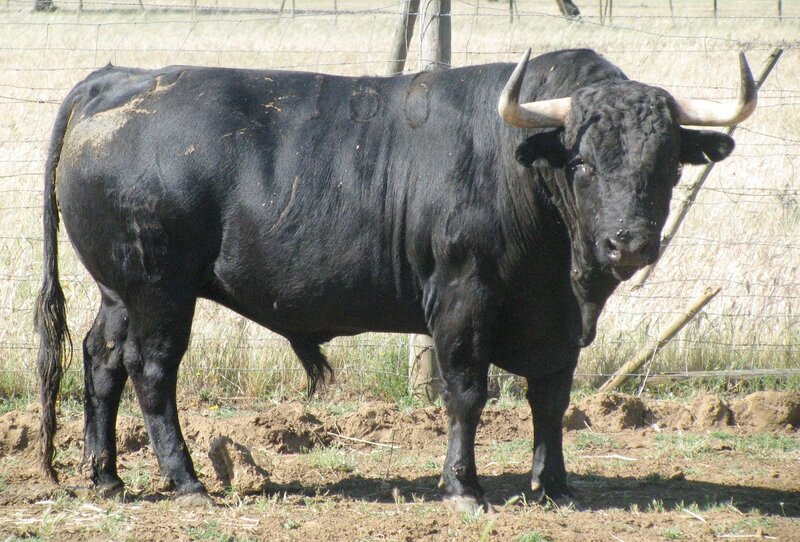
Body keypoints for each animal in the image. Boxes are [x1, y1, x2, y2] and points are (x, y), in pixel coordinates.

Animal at [36, 48, 756, 510]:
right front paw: (464, 488)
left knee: (101, 360)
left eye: (669, 163)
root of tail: (118, 78)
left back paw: (106, 478)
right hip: (159, 289)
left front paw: (553, 485)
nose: (627, 243)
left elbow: (550, 399)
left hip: (119, 290)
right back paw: (185, 481)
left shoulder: (557, 324)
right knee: (152, 371)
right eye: (581, 162)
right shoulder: (462, 300)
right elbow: (466, 394)